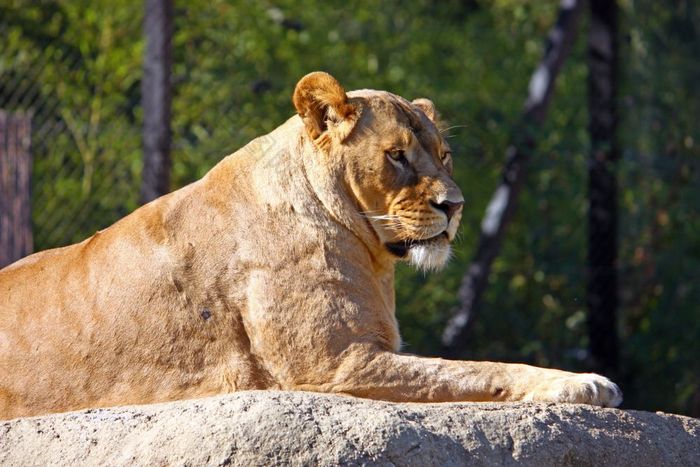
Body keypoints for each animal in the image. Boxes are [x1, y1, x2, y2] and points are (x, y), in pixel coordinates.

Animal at [0, 71, 624, 418]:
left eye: (444, 157)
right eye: (397, 155)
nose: (456, 205)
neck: (373, 256)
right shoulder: (332, 365)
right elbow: (473, 370)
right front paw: (583, 382)